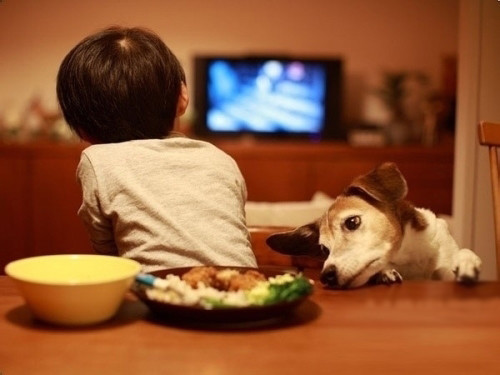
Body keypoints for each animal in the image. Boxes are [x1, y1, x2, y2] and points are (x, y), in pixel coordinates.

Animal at [266, 163, 480, 290]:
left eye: (352, 222)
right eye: (324, 249)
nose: (326, 276)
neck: (407, 256)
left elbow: (459, 257)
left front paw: (467, 263)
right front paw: (385, 273)